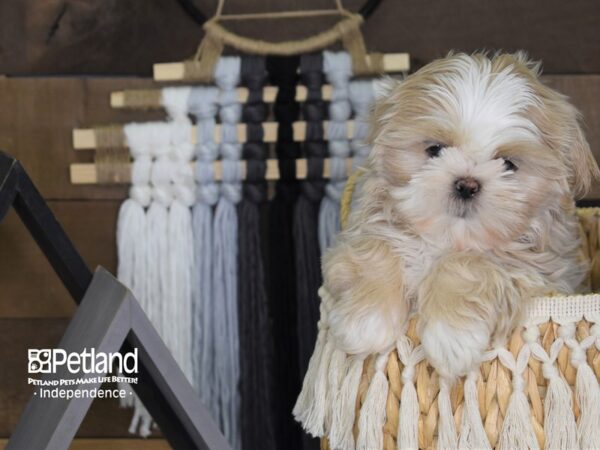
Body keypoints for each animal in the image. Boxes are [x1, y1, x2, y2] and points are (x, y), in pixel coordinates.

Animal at [326, 51, 596, 378]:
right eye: (435, 149)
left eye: (508, 164)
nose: (467, 185)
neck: (447, 237)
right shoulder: (363, 230)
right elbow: (377, 248)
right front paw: (365, 323)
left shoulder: (536, 271)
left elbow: (466, 265)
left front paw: (451, 339)